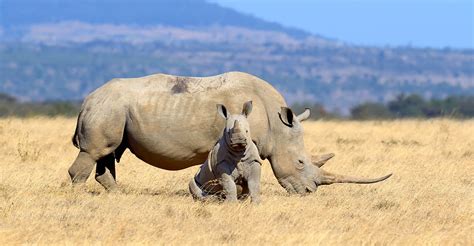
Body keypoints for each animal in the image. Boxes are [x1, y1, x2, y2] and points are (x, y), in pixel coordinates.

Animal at [68, 71, 390, 194]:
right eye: (300, 162)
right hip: (108, 107)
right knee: (94, 151)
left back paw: (118, 195)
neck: (277, 124)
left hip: (115, 108)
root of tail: (88, 99)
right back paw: (78, 197)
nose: (310, 192)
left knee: (108, 154)